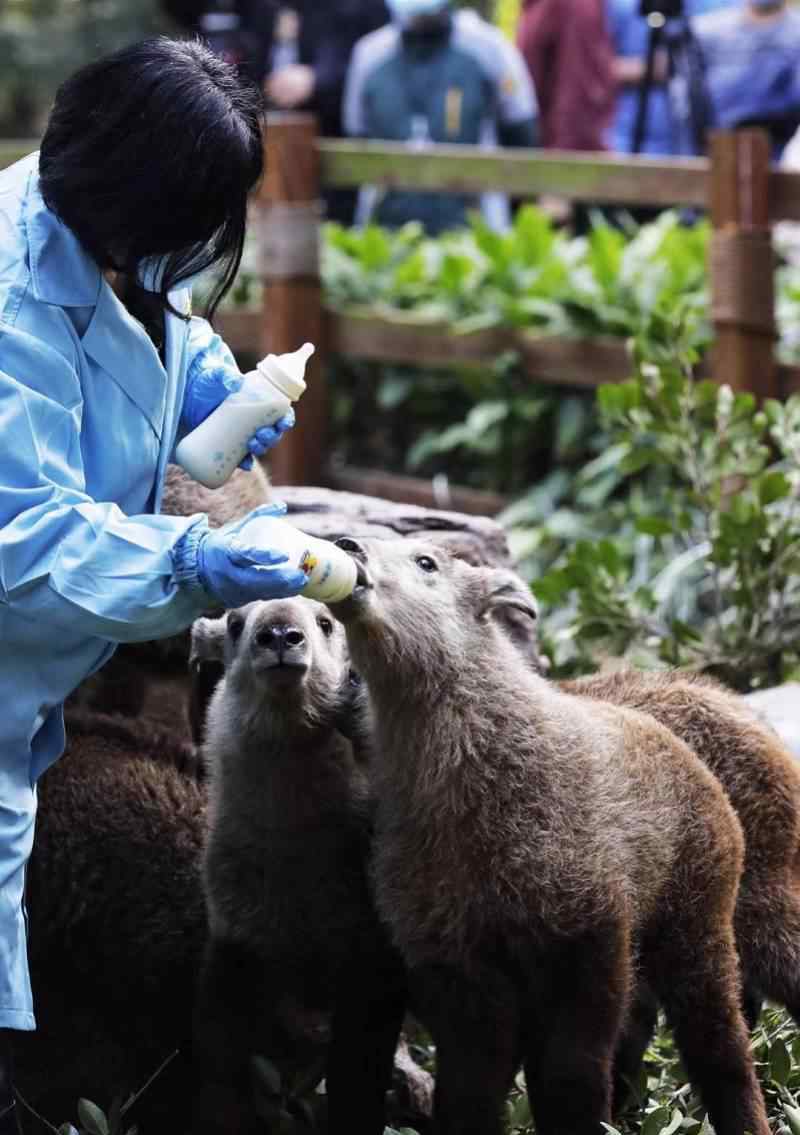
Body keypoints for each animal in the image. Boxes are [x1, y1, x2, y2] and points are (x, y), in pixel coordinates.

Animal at [191, 594, 406, 1135]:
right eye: (235, 623)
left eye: (327, 622)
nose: (281, 637)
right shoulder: (234, 939)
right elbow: (220, 1065)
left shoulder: (372, 956)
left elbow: (358, 1073)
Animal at [329, 535, 767, 1135]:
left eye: (426, 562)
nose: (346, 545)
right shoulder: (458, 969)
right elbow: (472, 1089)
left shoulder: (586, 944)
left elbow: (570, 1077)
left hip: (694, 928)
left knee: (721, 1048)